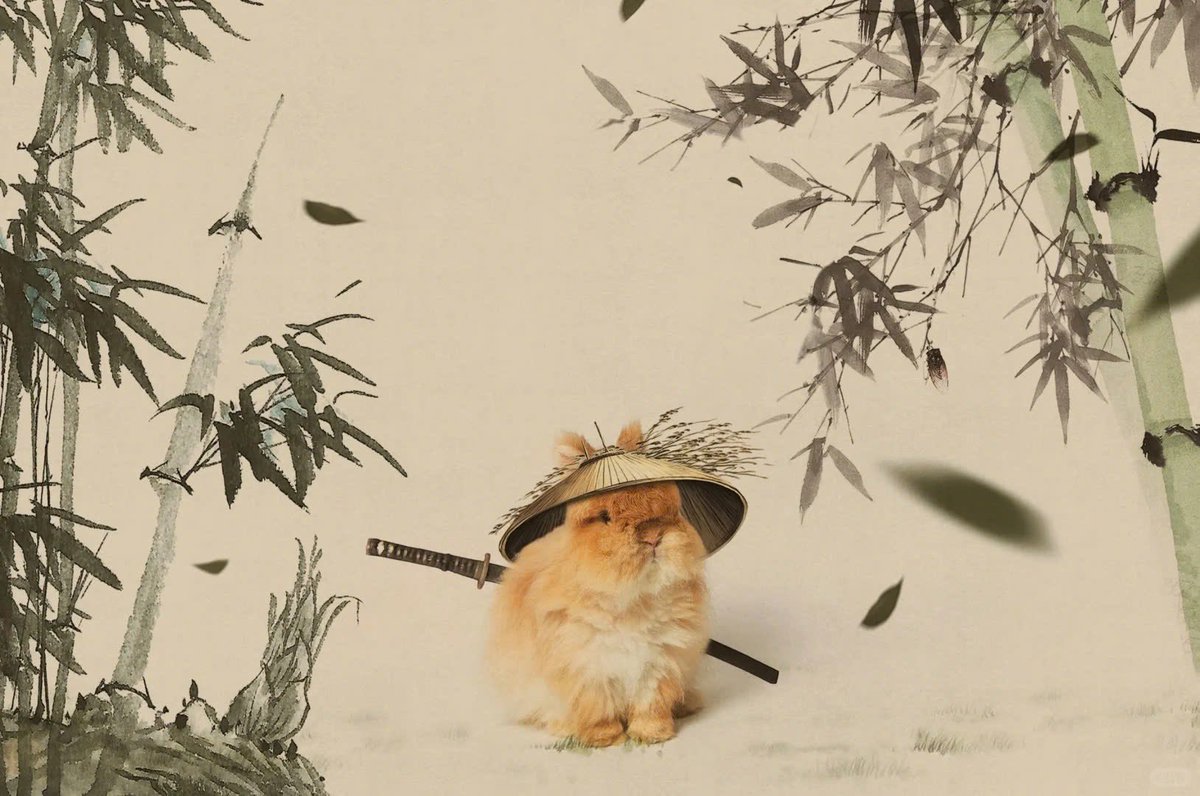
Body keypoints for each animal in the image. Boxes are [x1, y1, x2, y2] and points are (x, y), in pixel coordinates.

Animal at [485, 421, 710, 747]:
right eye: (604, 517)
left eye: (669, 506)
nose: (654, 537)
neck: (632, 598)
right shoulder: (584, 665)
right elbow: (597, 706)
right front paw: (606, 739)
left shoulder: (660, 661)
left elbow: (651, 703)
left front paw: (652, 735)